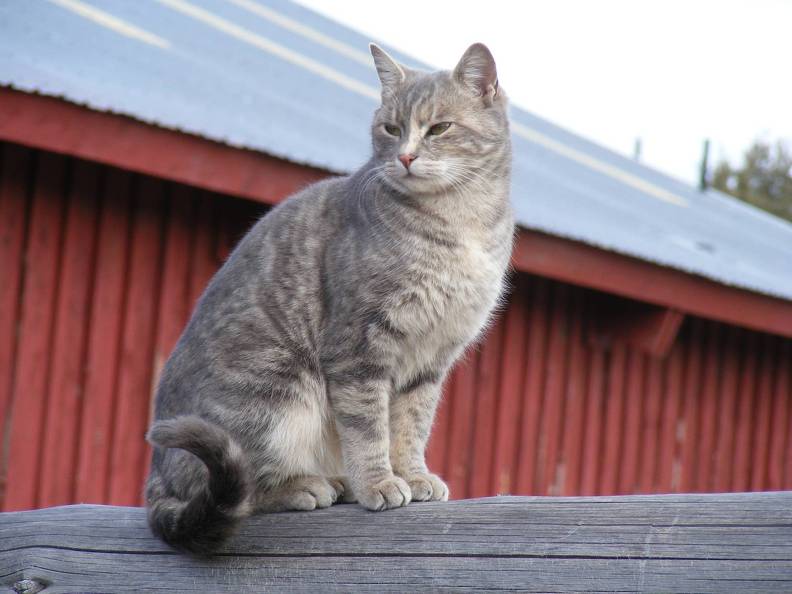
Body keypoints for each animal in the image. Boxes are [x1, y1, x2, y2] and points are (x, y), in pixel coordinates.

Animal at [144, 40, 512, 552]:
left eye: (439, 128)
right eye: (391, 129)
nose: (405, 158)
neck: (462, 221)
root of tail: (156, 476)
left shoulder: (431, 359)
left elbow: (411, 426)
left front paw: (413, 475)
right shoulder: (359, 347)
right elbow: (368, 427)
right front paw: (379, 482)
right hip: (278, 392)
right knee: (240, 483)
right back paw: (308, 485)